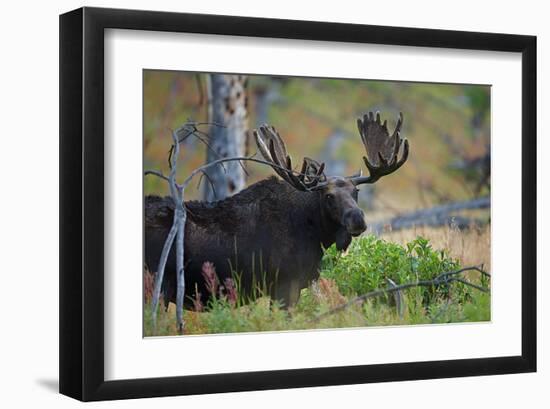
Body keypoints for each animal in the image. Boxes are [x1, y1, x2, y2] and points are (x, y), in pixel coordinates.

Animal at [144, 110, 412, 308]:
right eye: (328, 196)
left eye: (356, 192)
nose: (357, 219)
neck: (315, 237)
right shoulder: (284, 285)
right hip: (157, 285)